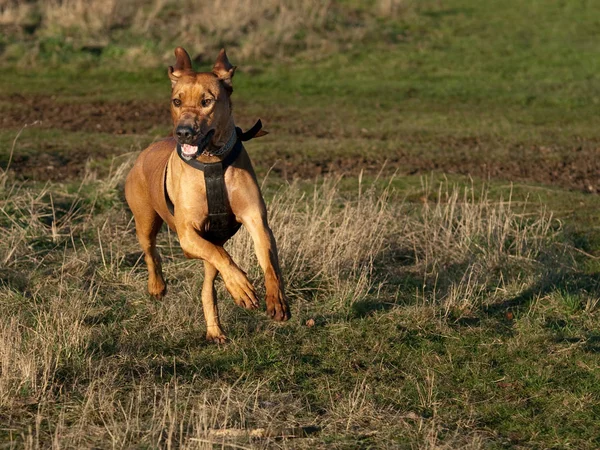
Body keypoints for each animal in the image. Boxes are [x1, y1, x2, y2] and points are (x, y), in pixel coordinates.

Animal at [125, 47, 290, 342]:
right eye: (177, 101)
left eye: (207, 101)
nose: (183, 132)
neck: (212, 161)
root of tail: (145, 153)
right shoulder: (187, 236)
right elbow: (222, 257)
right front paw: (242, 287)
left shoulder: (258, 223)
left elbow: (269, 264)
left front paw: (276, 300)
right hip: (145, 220)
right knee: (151, 252)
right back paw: (157, 286)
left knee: (208, 282)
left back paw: (215, 328)